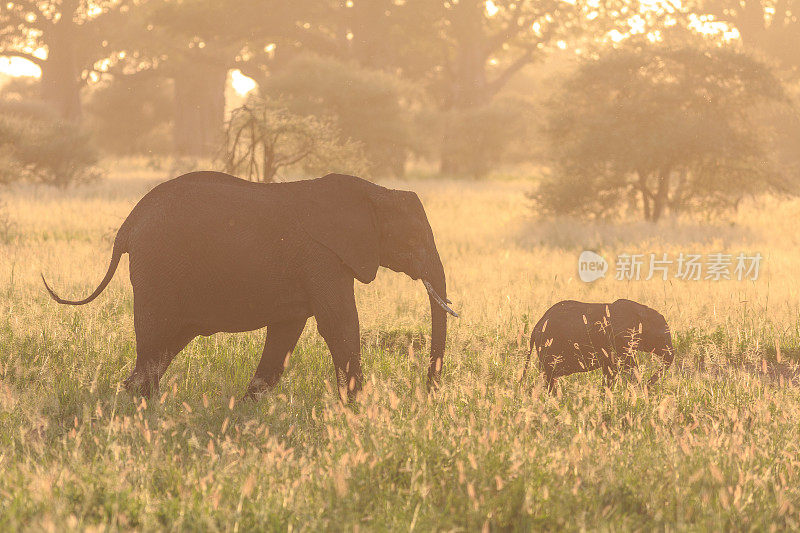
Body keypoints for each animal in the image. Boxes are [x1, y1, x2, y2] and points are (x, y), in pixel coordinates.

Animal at [42, 172, 456, 402]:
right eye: (414, 240)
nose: (428, 393)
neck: (376, 192)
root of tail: (128, 226)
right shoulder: (323, 257)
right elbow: (339, 326)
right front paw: (357, 407)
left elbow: (286, 333)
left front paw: (247, 409)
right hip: (156, 271)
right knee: (154, 342)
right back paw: (146, 410)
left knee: (164, 346)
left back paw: (135, 402)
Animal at [520, 298, 672, 392]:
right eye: (660, 337)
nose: (647, 385)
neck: (642, 312)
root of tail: (536, 326)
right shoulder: (619, 340)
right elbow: (628, 367)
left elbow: (610, 372)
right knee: (549, 377)